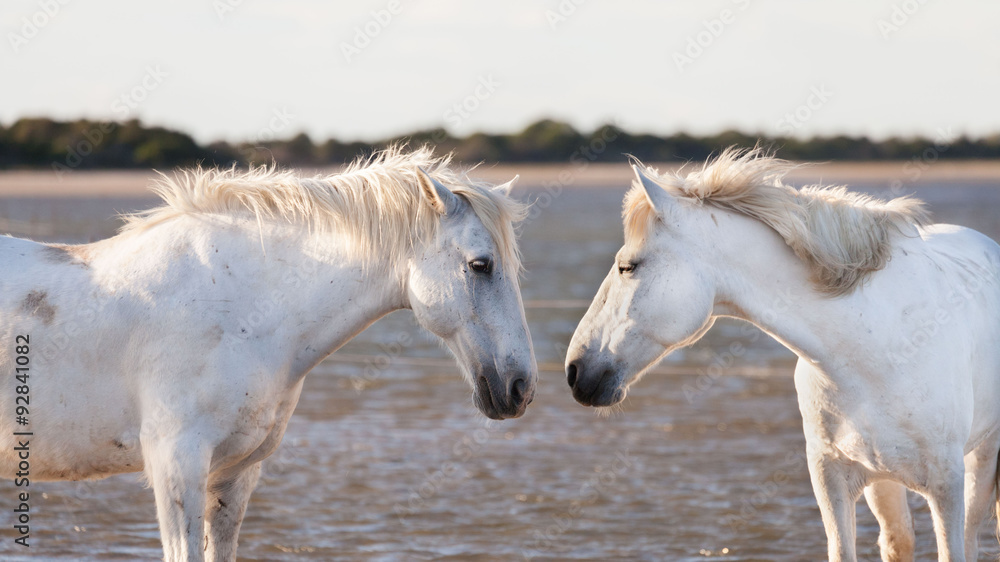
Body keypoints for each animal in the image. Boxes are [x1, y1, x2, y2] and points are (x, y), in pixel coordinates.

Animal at [565, 147, 1000, 561]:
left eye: (628, 266)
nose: (575, 370)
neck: (881, 350)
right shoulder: (830, 477)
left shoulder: (946, 485)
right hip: (886, 481)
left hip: (981, 459)